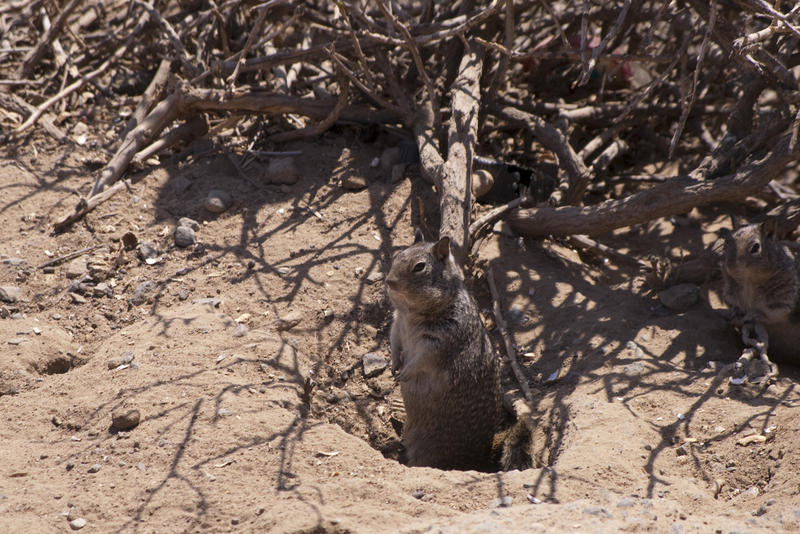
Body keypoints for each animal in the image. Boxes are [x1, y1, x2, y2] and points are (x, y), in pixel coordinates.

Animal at [386, 232, 500, 472]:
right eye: (398, 255)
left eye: (420, 267)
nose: (389, 281)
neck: (411, 313)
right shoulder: (397, 323)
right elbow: (394, 342)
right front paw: (393, 365)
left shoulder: (439, 342)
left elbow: (422, 360)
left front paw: (405, 373)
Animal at [720, 220, 796, 378]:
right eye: (725, 244)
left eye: (755, 247)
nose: (730, 266)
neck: (748, 280)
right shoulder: (730, 289)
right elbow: (734, 302)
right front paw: (735, 311)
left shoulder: (785, 295)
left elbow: (773, 312)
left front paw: (753, 315)